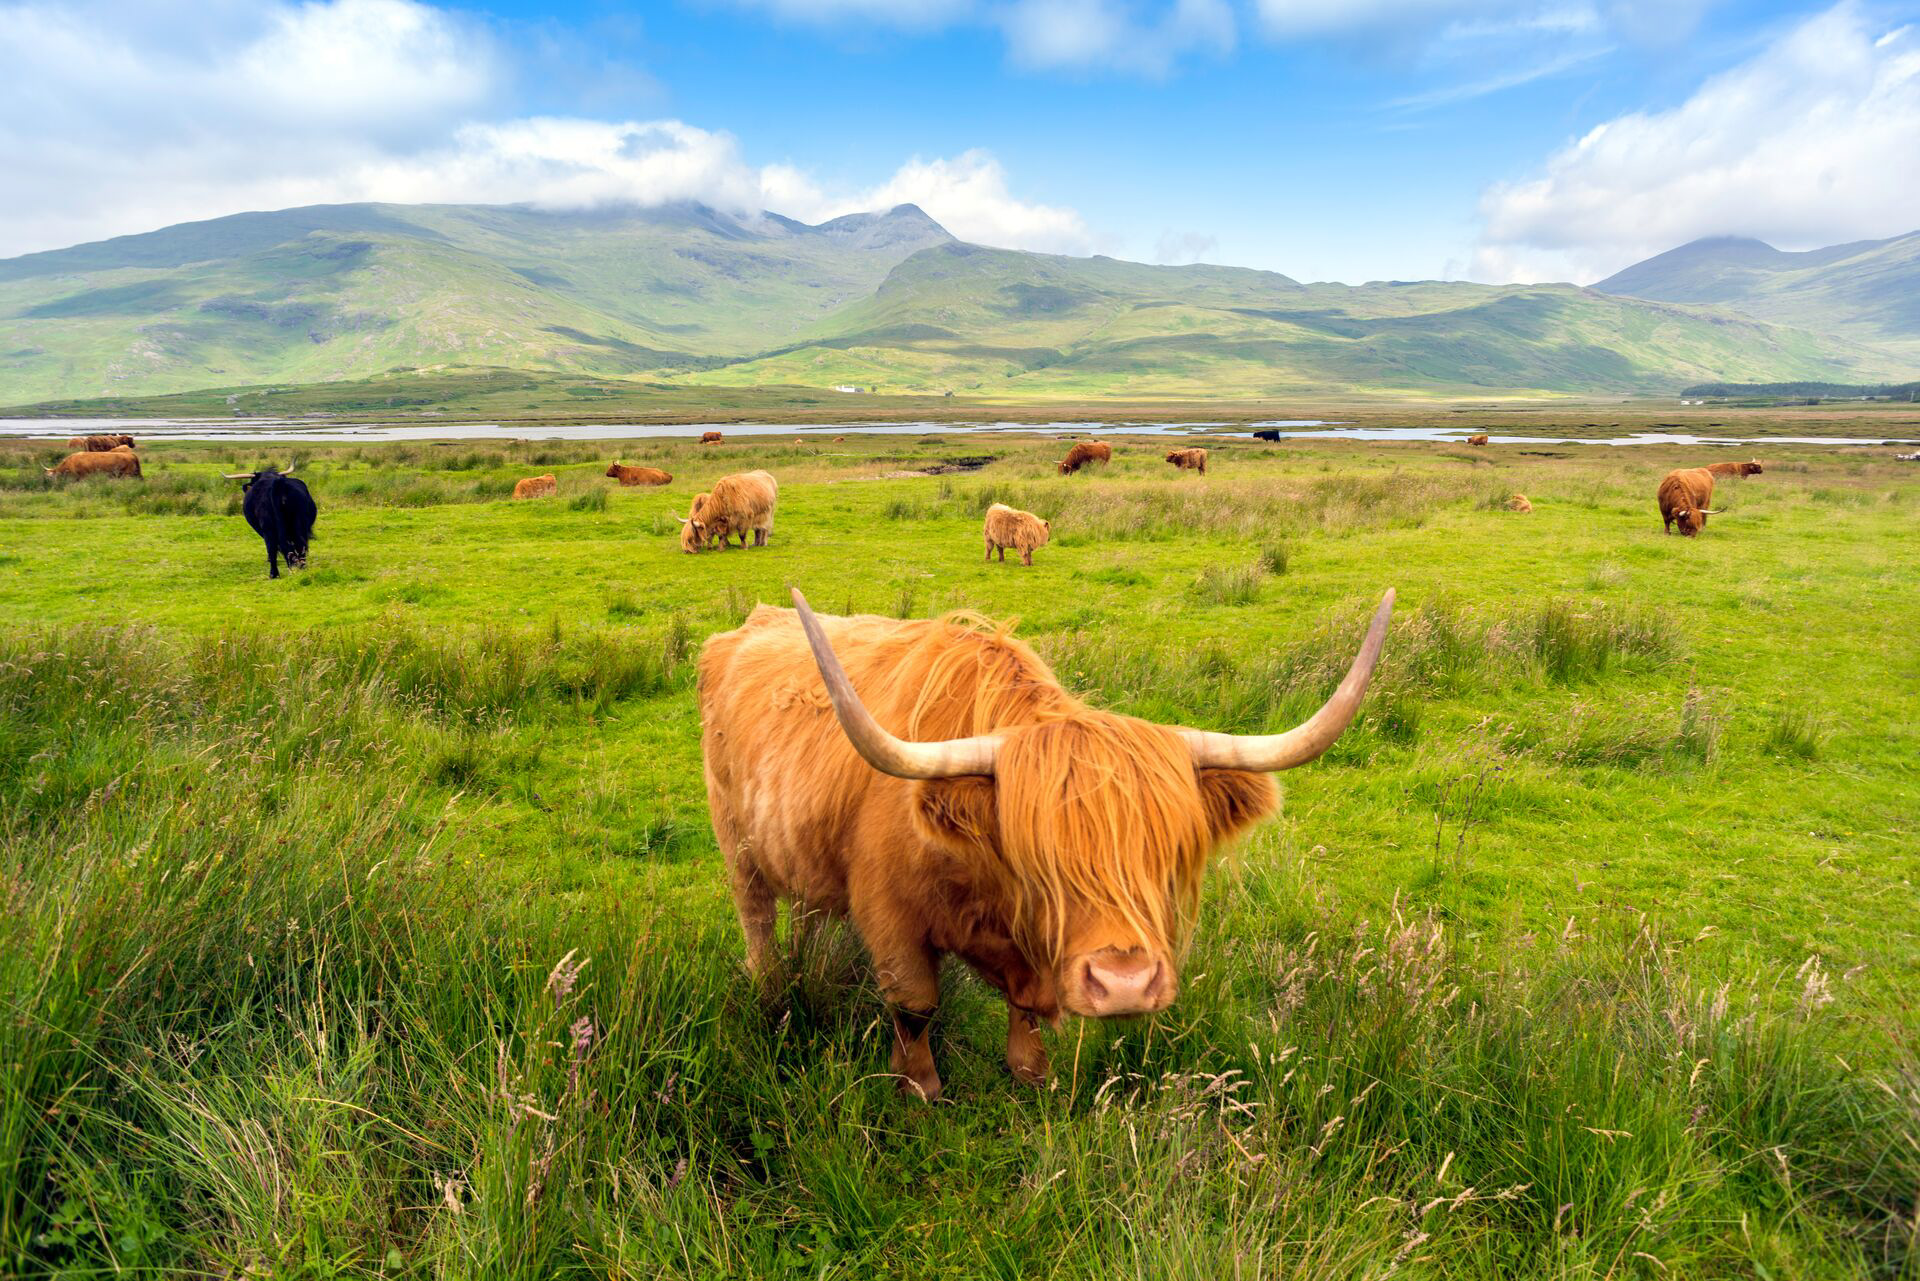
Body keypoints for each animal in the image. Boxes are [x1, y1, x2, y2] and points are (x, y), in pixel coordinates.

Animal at [699, 587, 1394, 1100]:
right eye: (1040, 859)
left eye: (1167, 851)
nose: (1124, 983)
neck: (983, 888)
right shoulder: (889, 913)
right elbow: (916, 1005)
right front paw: (919, 1086)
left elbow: (1026, 1006)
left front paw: (1031, 1072)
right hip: (736, 842)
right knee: (756, 916)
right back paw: (773, 991)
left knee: (807, 913)